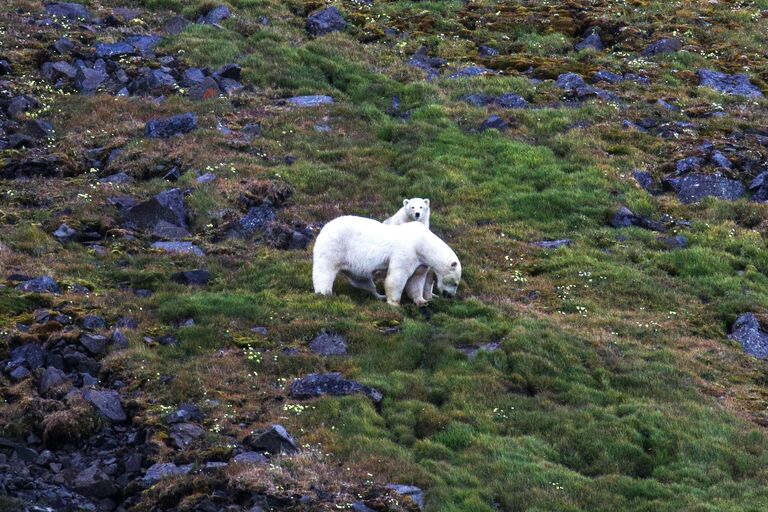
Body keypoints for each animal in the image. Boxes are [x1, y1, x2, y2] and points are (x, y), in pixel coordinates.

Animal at [314, 215, 462, 306]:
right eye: (455, 283)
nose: (450, 296)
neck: (423, 243)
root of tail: (325, 227)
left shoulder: (420, 261)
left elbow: (416, 279)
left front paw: (422, 301)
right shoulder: (407, 251)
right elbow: (397, 277)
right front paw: (394, 303)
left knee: (363, 280)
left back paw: (379, 295)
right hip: (334, 248)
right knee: (324, 272)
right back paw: (324, 293)